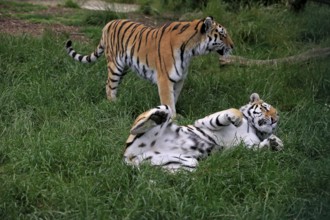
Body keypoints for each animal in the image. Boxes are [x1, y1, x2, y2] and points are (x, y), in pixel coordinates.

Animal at [65, 16, 233, 117]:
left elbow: (174, 97)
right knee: (109, 84)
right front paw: (173, 119)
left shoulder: (179, 79)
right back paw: (112, 104)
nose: (233, 46)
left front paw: (175, 115)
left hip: (123, 67)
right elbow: (168, 100)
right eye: (222, 35)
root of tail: (108, 23)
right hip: (115, 65)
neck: (191, 50)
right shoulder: (165, 78)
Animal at [124, 93, 284, 172]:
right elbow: (229, 113)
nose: (275, 119)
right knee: (140, 123)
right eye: (265, 108)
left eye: (277, 114)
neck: (253, 126)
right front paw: (236, 118)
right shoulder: (204, 121)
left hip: (182, 163)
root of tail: (129, 157)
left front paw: (276, 143)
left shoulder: (246, 147)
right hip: (162, 110)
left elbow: (258, 147)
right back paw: (157, 118)